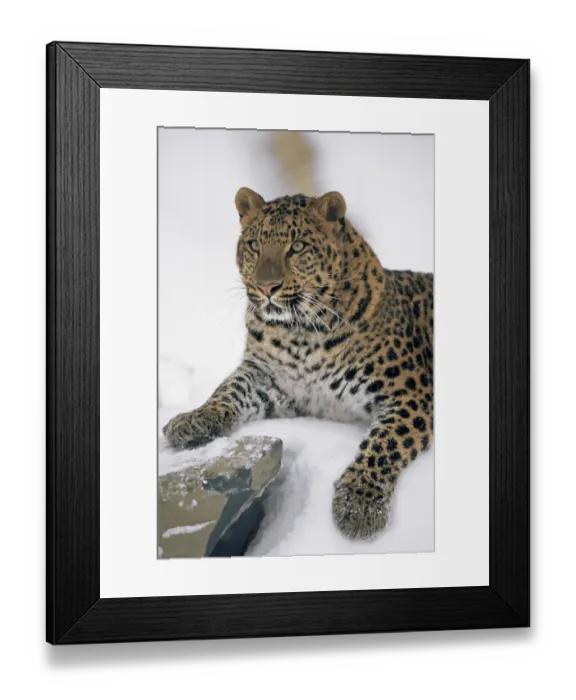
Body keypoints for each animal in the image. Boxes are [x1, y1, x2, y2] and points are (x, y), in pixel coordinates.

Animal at [162, 187, 433, 540]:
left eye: (298, 247)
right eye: (255, 245)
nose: (266, 287)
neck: (300, 333)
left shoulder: (411, 394)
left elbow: (385, 443)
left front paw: (359, 503)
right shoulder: (271, 381)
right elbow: (229, 389)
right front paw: (193, 418)